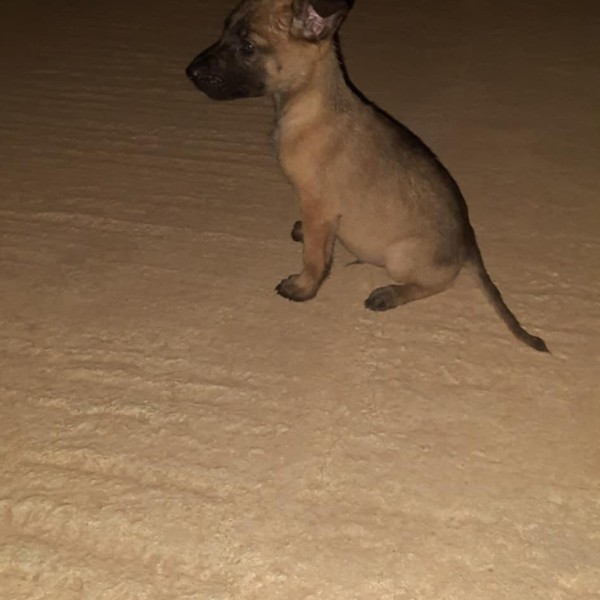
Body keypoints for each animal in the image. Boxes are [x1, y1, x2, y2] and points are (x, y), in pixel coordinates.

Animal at [186, 0, 549, 352]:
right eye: (224, 31)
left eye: (248, 46)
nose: (190, 72)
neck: (306, 103)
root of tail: (468, 243)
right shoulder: (320, 214)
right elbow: (319, 242)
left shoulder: (319, 206)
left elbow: (313, 257)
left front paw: (303, 287)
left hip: (400, 256)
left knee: (438, 283)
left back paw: (391, 293)